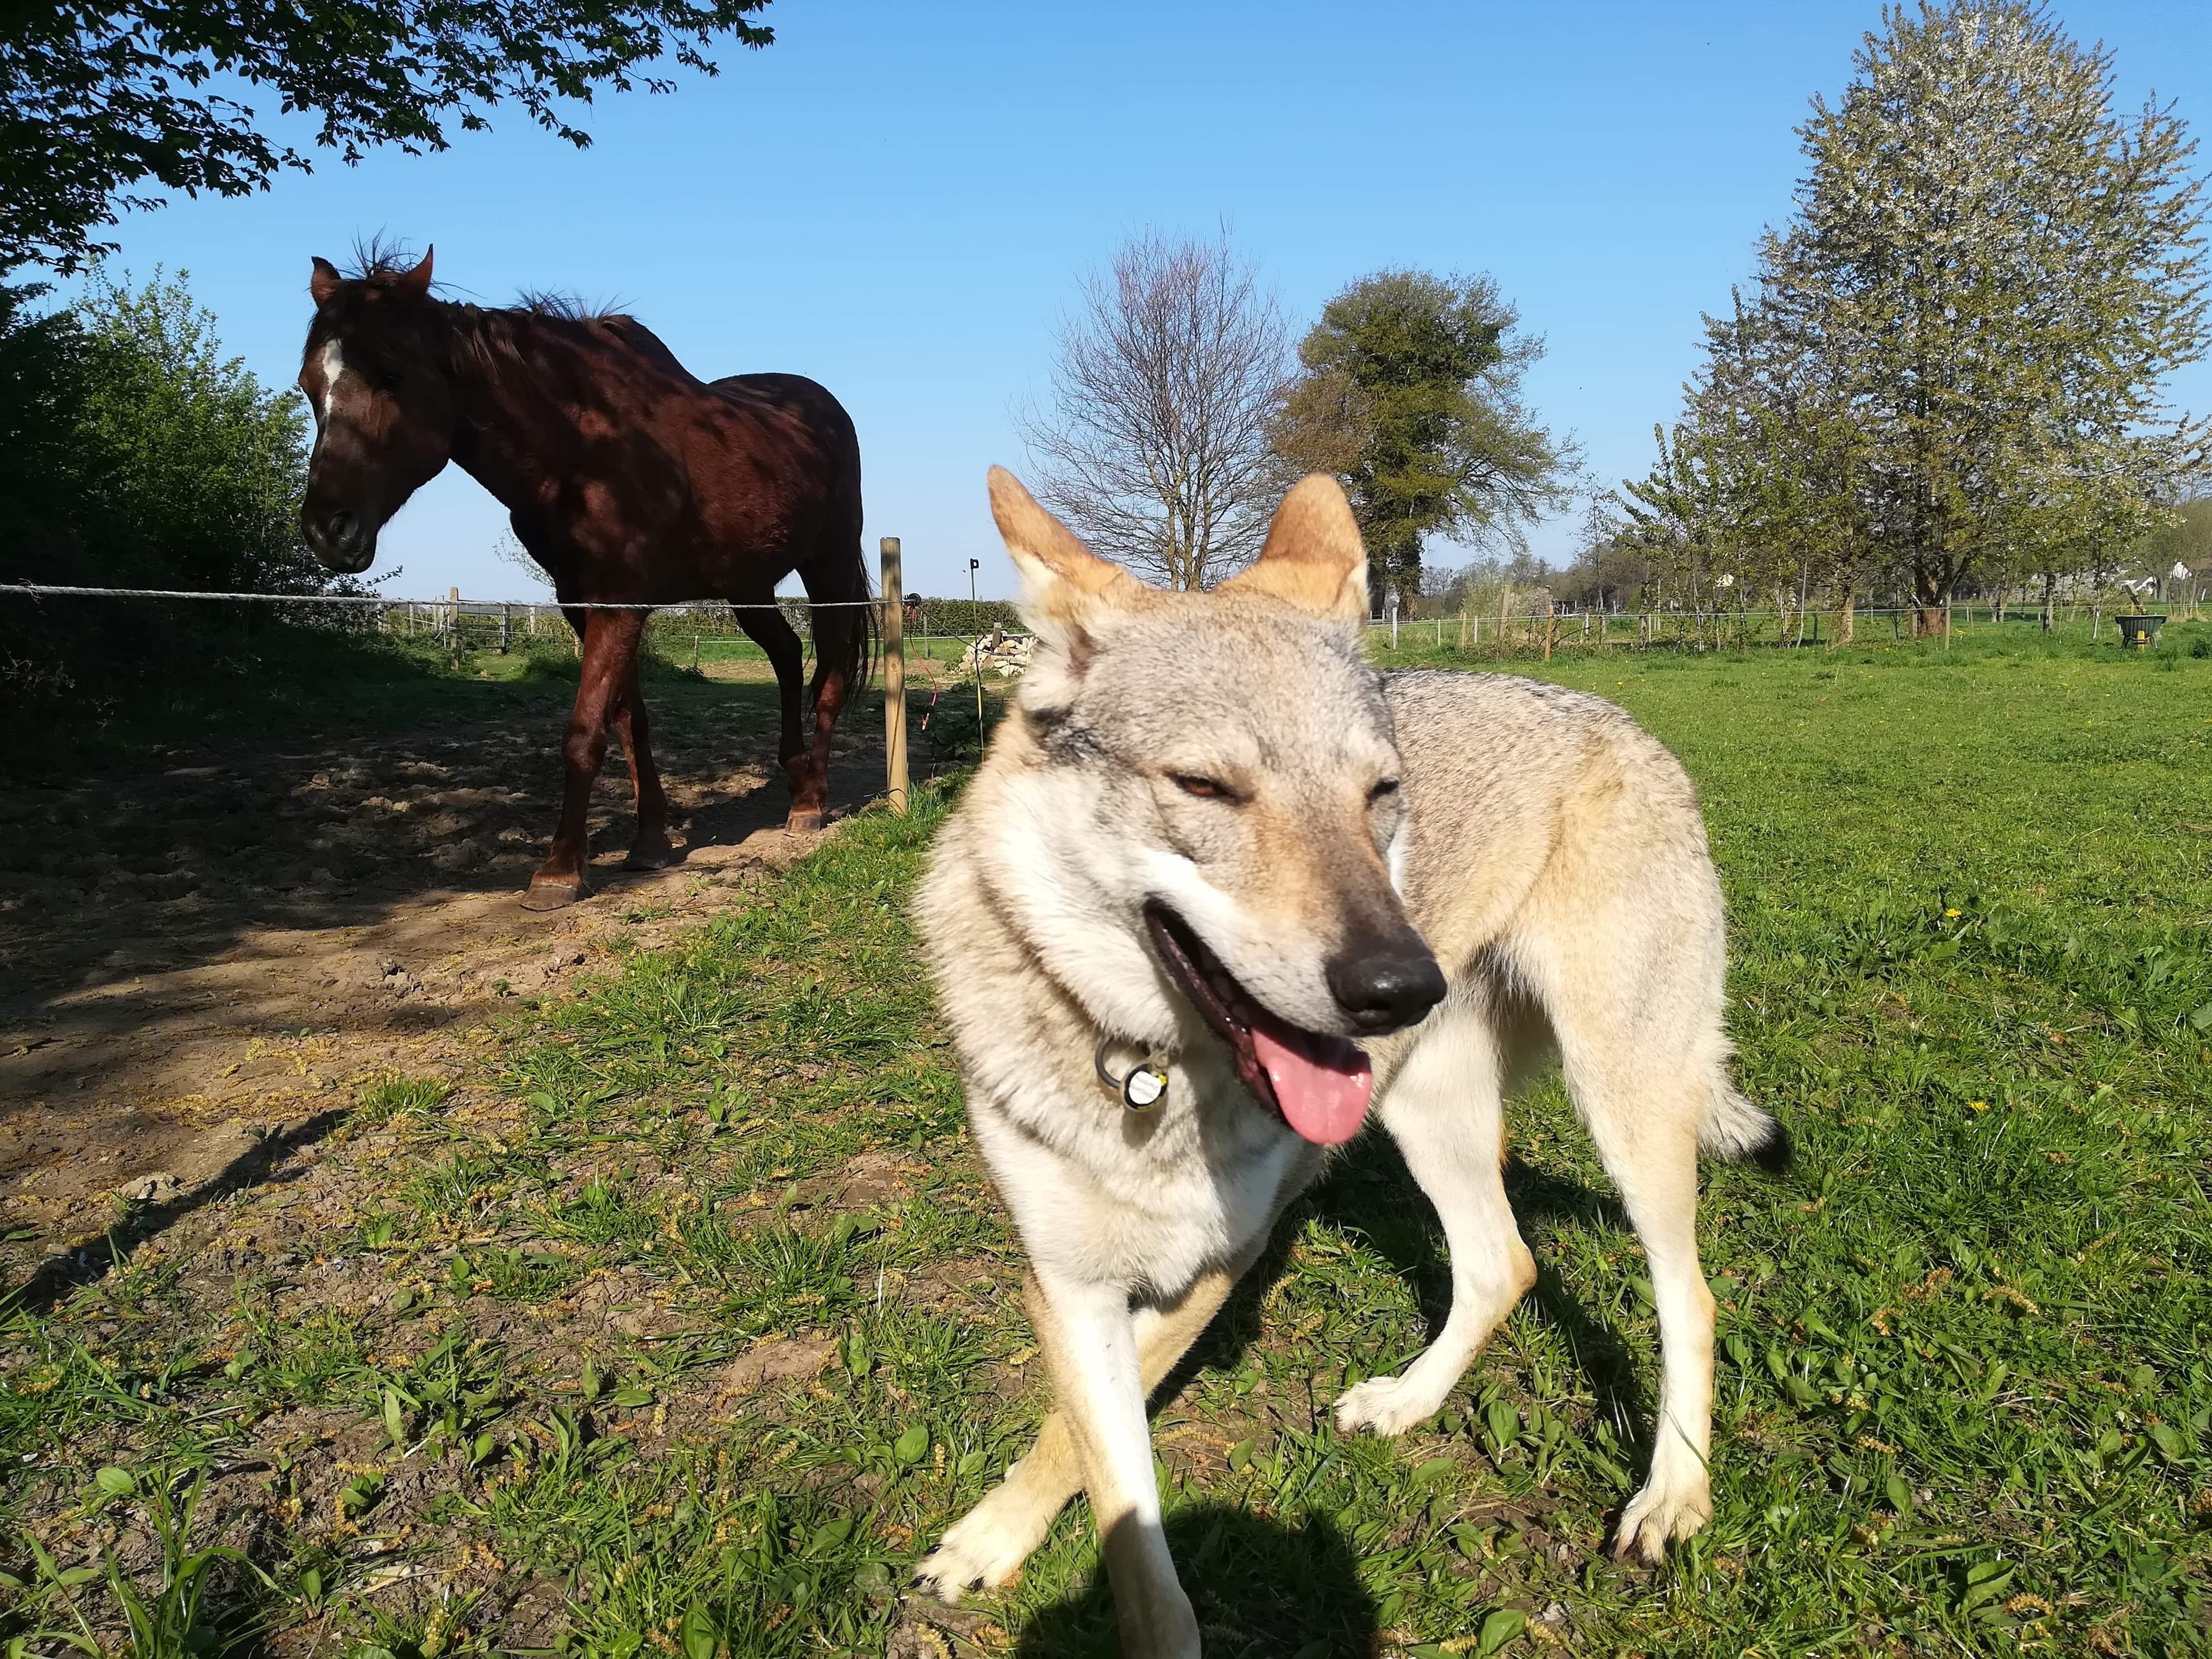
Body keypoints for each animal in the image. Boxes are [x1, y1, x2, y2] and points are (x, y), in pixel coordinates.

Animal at [298, 250, 867, 911]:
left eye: (391, 375)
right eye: (309, 387)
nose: (327, 530)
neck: (583, 450)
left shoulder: (619, 603)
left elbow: (585, 731)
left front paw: (560, 870)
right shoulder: (581, 603)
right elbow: (628, 722)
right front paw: (649, 842)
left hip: (828, 566)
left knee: (829, 671)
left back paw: (812, 802)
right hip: (747, 586)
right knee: (786, 653)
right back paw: (795, 776)